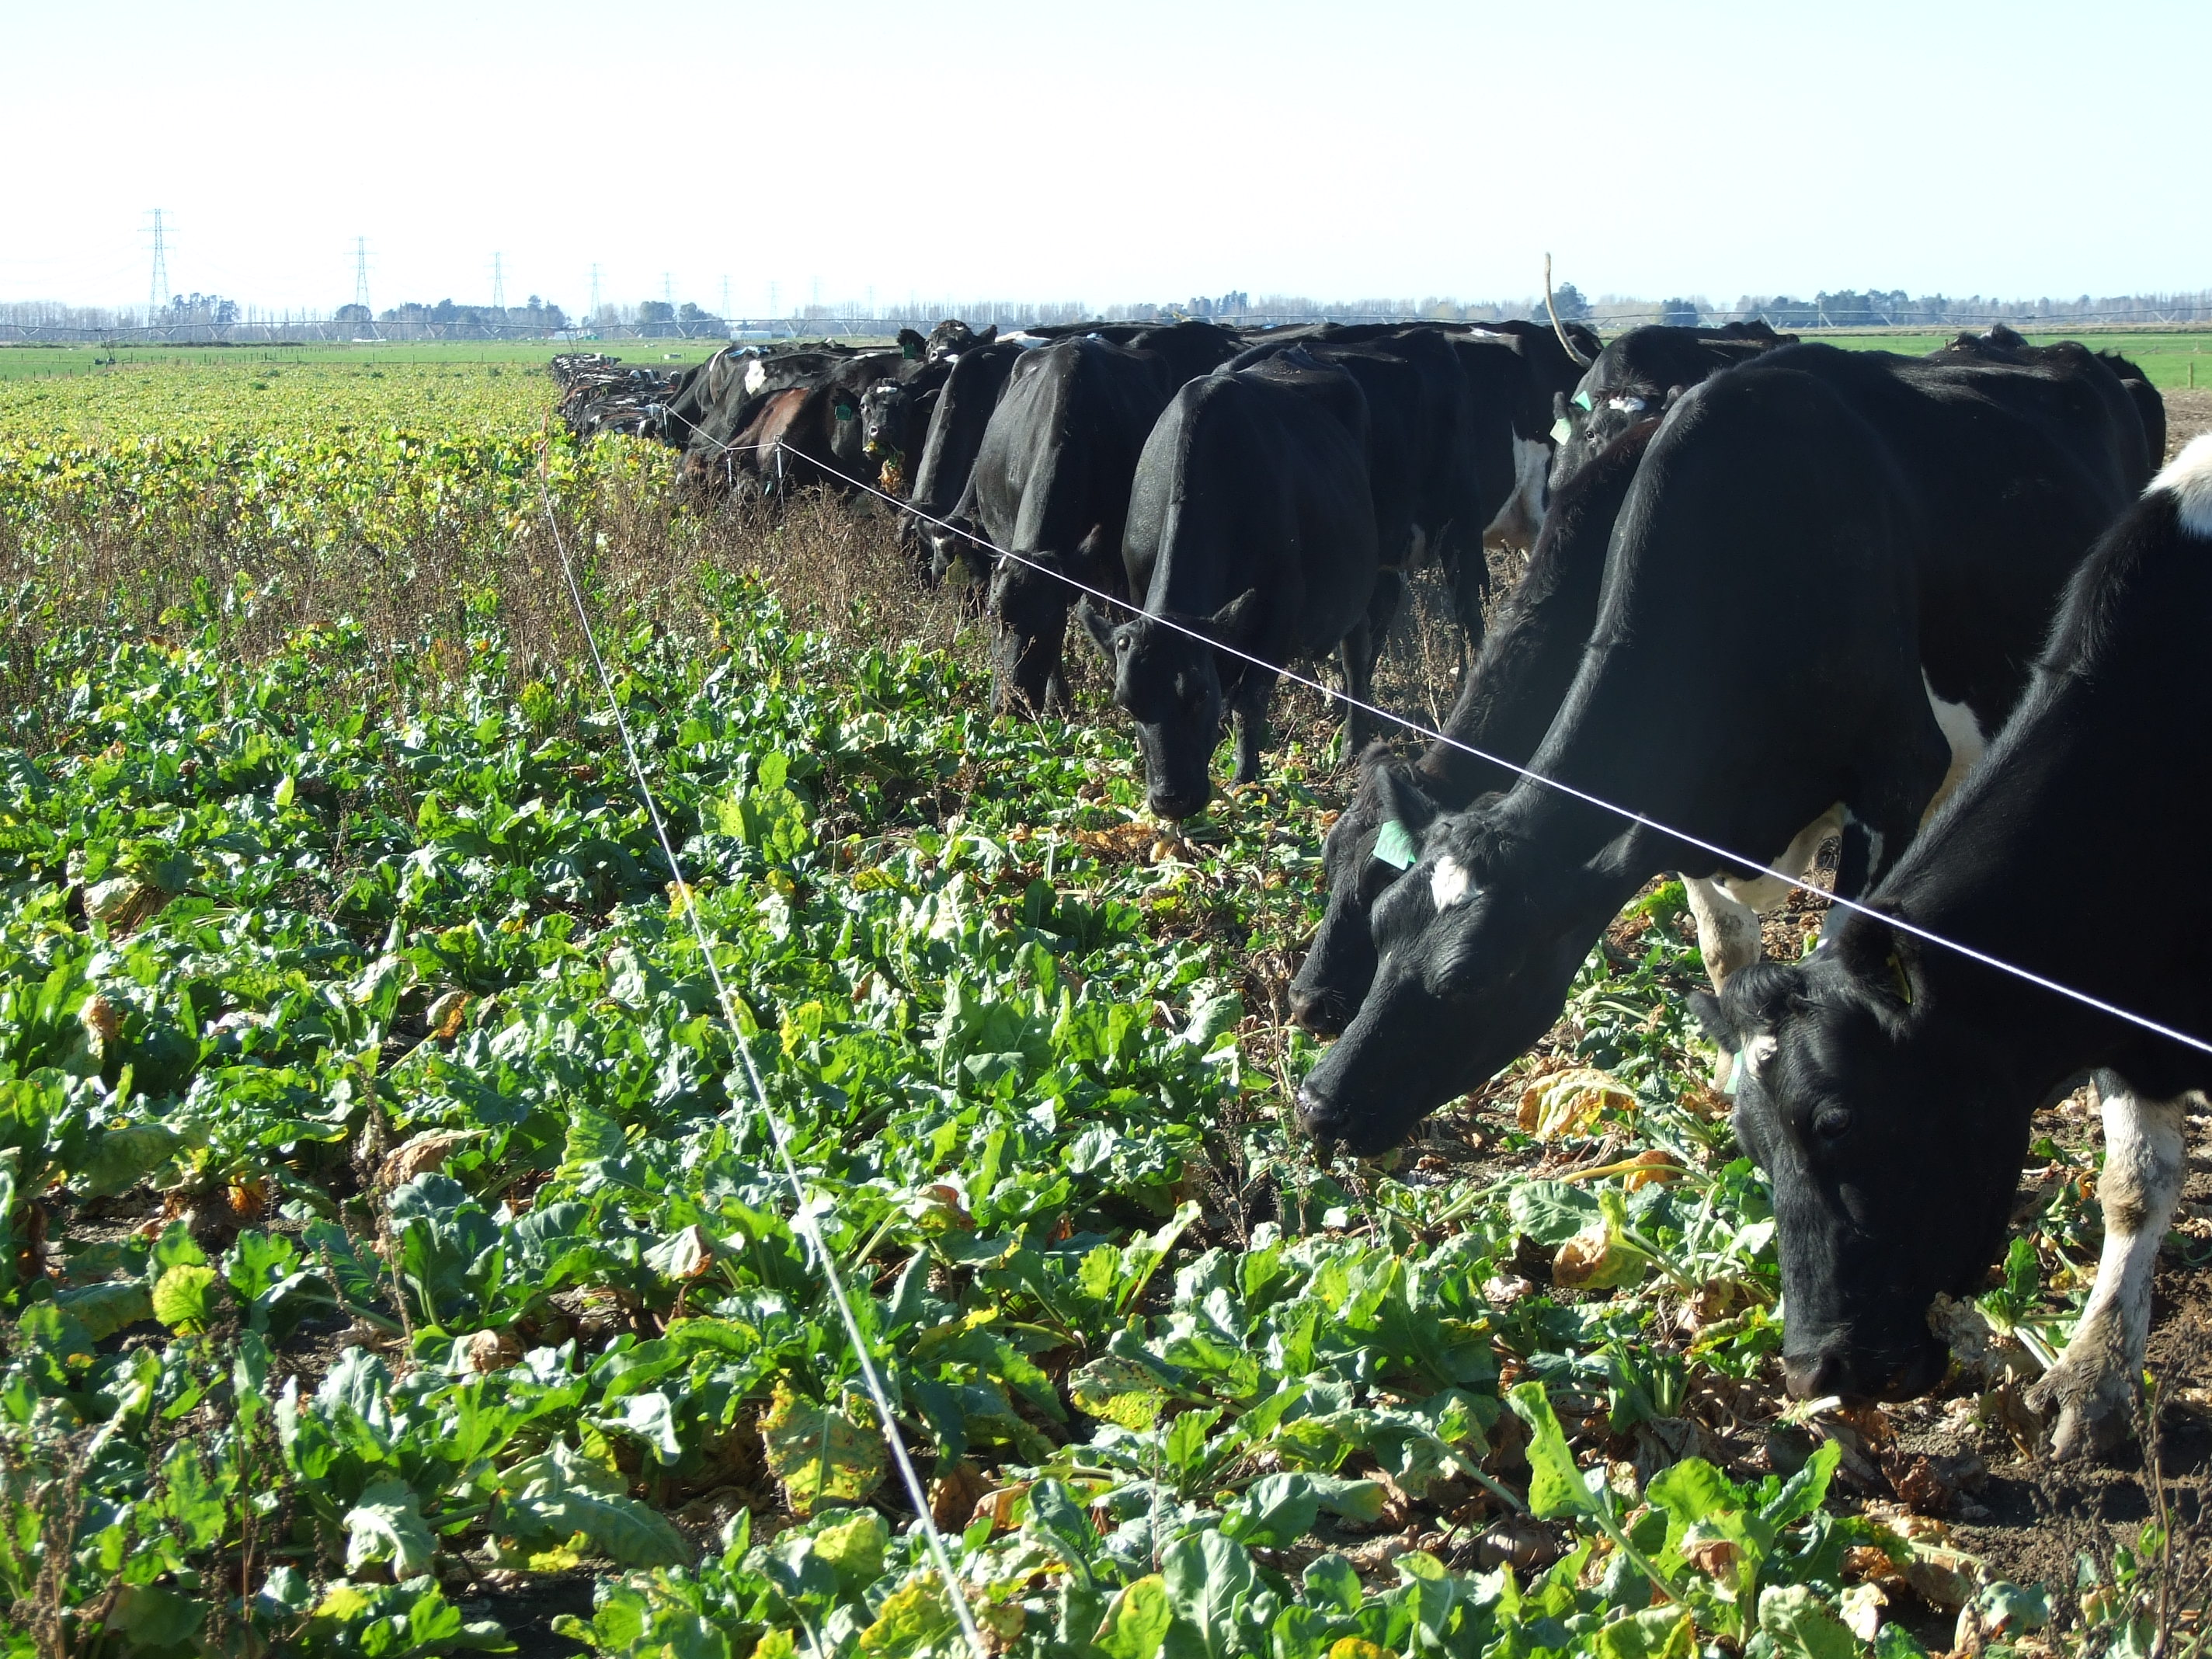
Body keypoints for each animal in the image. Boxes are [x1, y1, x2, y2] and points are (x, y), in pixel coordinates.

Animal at [1079, 350, 1384, 820]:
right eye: (1125, 703)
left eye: (1199, 694)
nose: (1171, 800)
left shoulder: (1279, 610)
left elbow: (1249, 700)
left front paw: (1246, 778)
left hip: (1358, 583)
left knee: (1356, 650)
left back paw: (1353, 745)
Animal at [1293, 339, 2159, 1156]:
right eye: (1382, 920)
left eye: (1471, 976)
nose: (1316, 1100)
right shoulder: (1680, 805)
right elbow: (1725, 952)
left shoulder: (1897, 777)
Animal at [1695, 435, 2212, 1458]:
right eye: (1750, 1147)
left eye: (1842, 1122)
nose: (1814, 1373)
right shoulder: (2129, 1019)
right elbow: (2133, 1184)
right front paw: (2091, 1380)